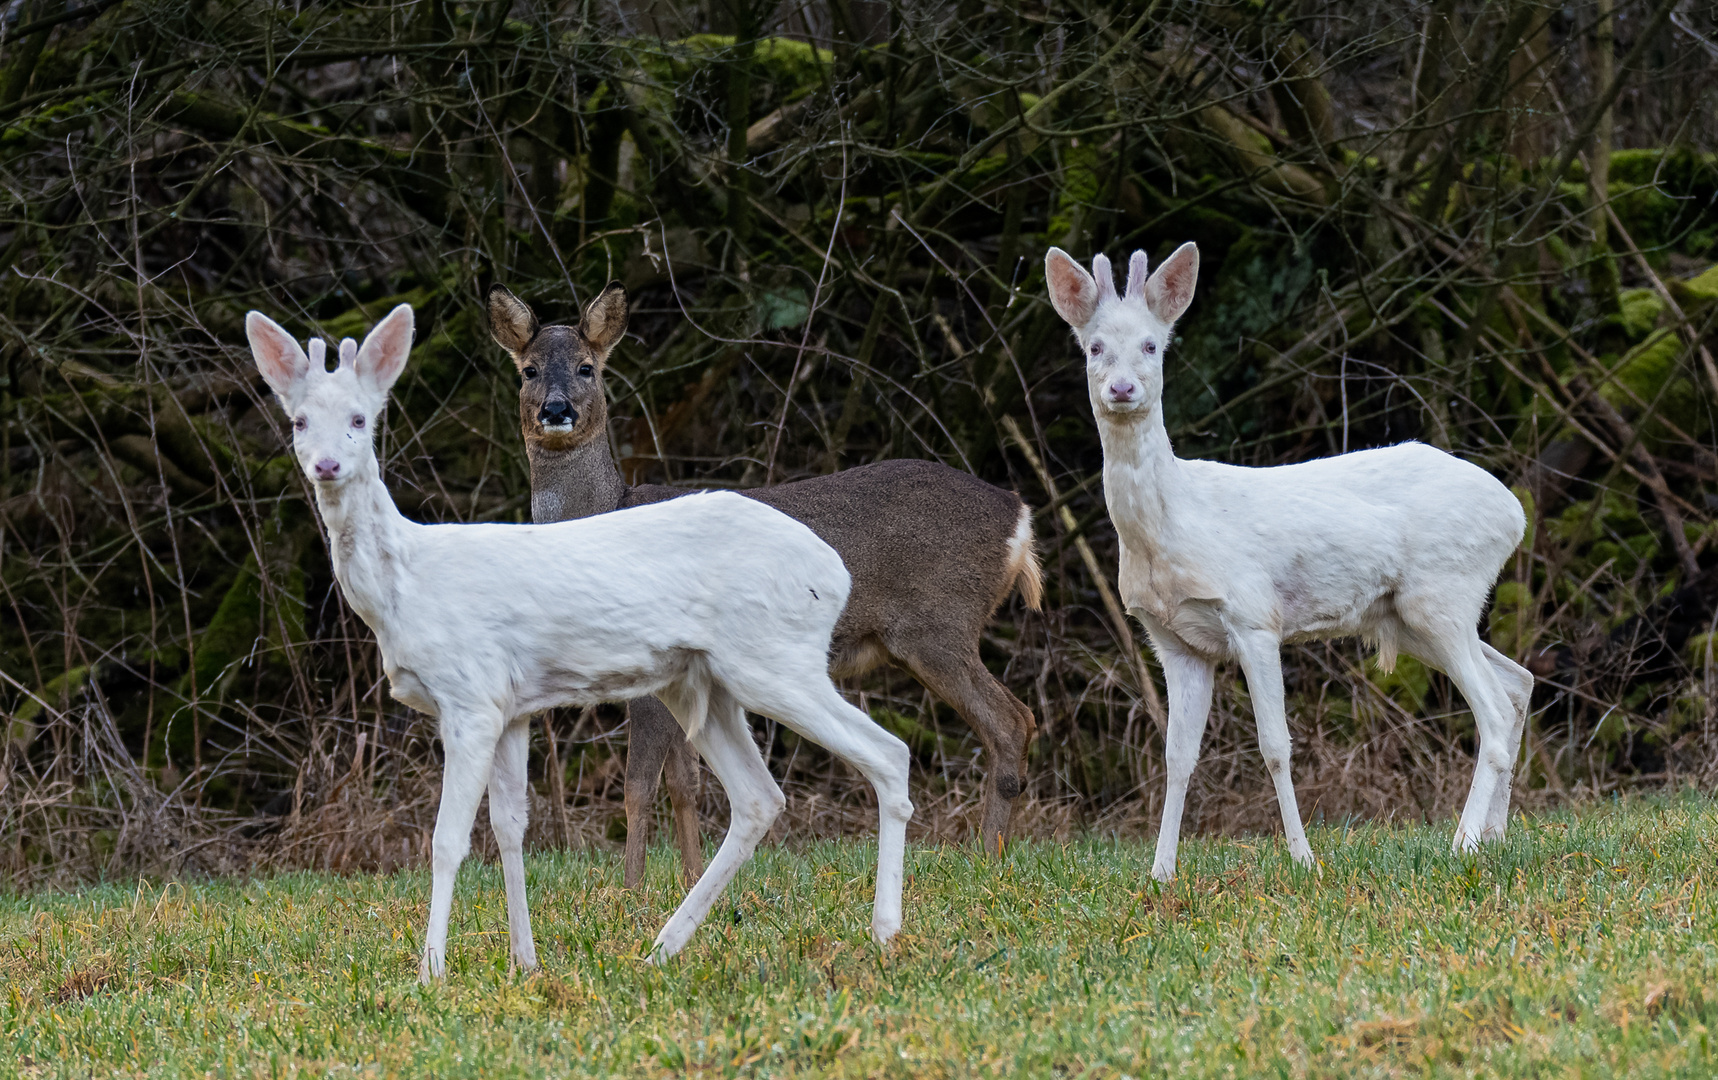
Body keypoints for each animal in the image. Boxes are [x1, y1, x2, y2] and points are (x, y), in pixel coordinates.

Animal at [245, 303, 913, 975]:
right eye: (299, 421)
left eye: (360, 419)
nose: (326, 465)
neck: (404, 584)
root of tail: (833, 574)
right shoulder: (511, 706)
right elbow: (510, 827)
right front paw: (525, 962)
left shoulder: (470, 695)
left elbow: (447, 839)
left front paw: (431, 971)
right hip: (701, 681)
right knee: (759, 798)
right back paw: (661, 948)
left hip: (775, 659)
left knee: (888, 753)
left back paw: (883, 932)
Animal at [491, 279, 1037, 885]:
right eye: (528, 371)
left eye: (587, 367)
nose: (556, 409)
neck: (608, 511)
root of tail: (1019, 518)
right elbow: (685, 783)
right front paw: (689, 876)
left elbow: (638, 787)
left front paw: (630, 892)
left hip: (936, 624)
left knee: (1010, 721)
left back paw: (987, 858)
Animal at [1037, 242, 1539, 875]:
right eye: (1095, 346)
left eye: (1152, 344)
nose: (1123, 389)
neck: (1173, 526)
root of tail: (1514, 515)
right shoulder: (1175, 640)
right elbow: (1177, 757)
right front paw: (1161, 871)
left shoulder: (1254, 617)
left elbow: (1275, 746)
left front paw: (1304, 859)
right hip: (1411, 615)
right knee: (1518, 683)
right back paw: (1495, 836)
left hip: (1442, 595)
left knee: (1493, 710)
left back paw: (1463, 843)